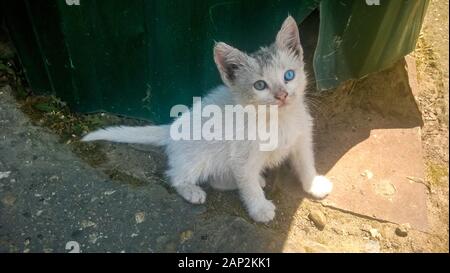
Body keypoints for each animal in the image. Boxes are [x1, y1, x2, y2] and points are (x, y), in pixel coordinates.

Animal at [82, 16, 332, 221]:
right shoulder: (243, 157)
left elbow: (305, 162)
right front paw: (260, 209)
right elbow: (248, 185)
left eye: (289, 75)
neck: (277, 119)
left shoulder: (301, 139)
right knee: (176, 174)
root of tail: (172, 127)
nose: (282, 95)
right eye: (260, 85)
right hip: (199, 155)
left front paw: (313, 183)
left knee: (217, 179)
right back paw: (192, 190)